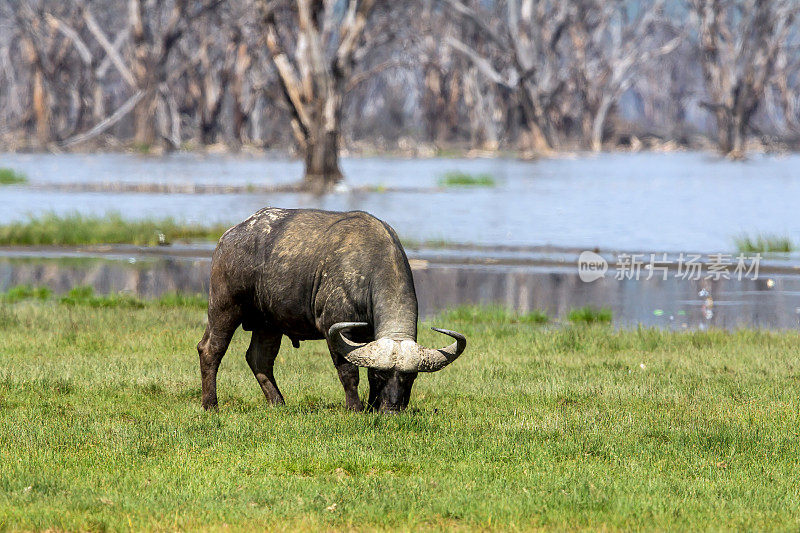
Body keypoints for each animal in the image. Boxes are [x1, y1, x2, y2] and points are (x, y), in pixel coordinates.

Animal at [196, 207, 466, 412]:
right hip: (224, 305)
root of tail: (229, 236)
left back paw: (278, 403)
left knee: (259, 359)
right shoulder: (334, 329)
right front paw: (355, 408)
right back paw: (211, 405)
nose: (391, 410)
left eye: (410, 377)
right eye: (382, 375)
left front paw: (371, 407)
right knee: (210, 349)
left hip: (268, 323)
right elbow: (349, 372)